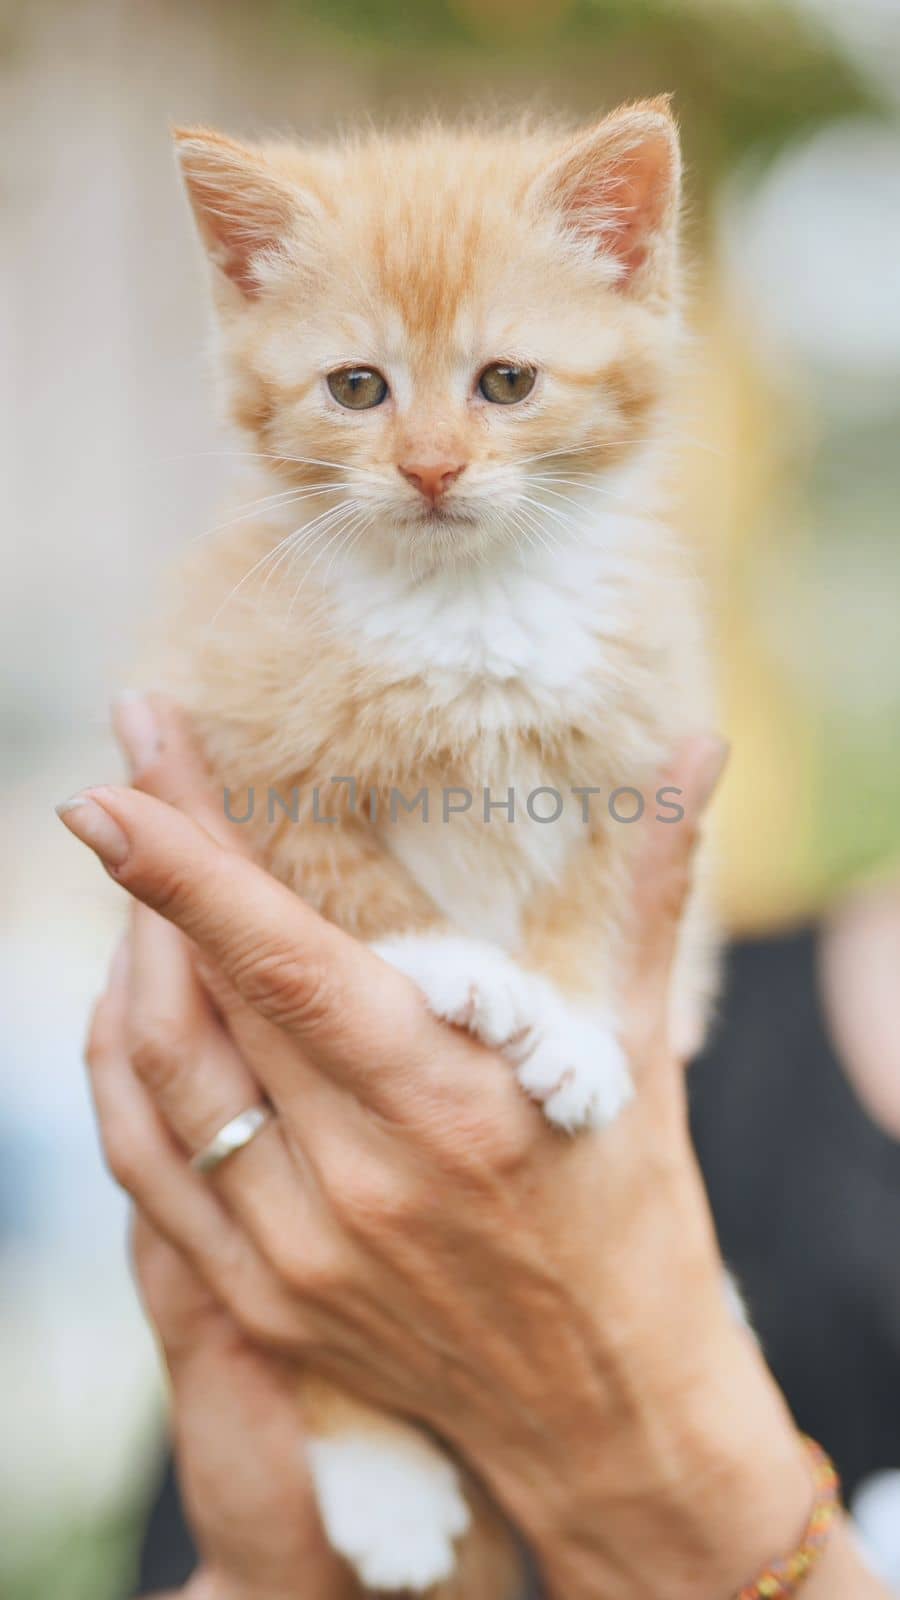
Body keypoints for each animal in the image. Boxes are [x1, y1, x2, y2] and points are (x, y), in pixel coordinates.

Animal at [157, 106, 711, 1593]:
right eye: (358, 388)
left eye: (505, 382)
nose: (431, 467)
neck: (470, 608)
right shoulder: (241, 750)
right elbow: (348, 875)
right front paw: (465, 968)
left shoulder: (627, 748)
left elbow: (587, 890)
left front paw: (571, 1024)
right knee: (309, 1329)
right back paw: (384, 1487)